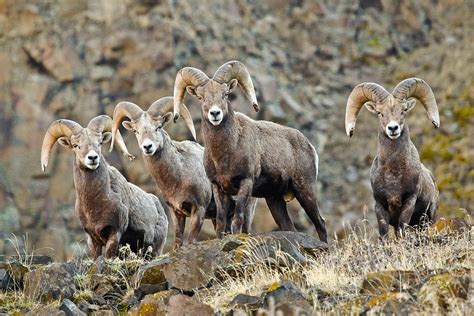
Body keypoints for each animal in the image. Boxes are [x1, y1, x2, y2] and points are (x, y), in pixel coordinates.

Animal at [40, 115, 168, 258]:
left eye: (100, 143)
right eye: (75, 145)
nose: (93, 158)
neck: (94, 204)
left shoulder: (114, 233)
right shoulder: (92, 239)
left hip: (154, 250)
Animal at [110, 97, 252, 248]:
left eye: (158, 127)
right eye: (136, 131)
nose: (147, 147)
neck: (179, 176)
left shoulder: (199, 209)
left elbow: (191, 240)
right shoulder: (176, 213)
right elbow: (178, 241)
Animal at [172, 59, 328, 242]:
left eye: (226, 94)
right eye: (200, 97)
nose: (215, 114)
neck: (224, 154)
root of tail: (309, 145)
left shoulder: (245, 183)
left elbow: (238, 219)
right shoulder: (219, 188)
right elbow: (221, 222)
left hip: (305, 190)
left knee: (320, 223)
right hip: (275, 200)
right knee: (290, 226)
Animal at [344, 78, 440, 236]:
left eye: (404, 110)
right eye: (379, 113)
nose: (393, 128)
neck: (393, 174)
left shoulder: (409, 201)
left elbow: (402, 228)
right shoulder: (380, 204)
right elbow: (383, 233)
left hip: (428, 220)